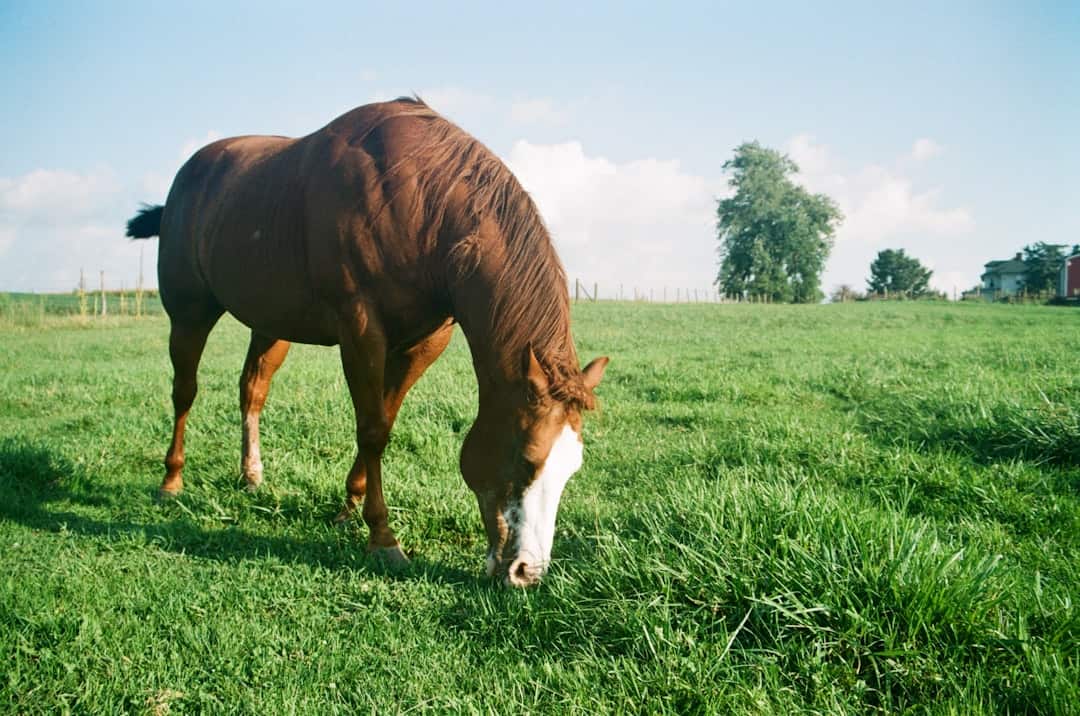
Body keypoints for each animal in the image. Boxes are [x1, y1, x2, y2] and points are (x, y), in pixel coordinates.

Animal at [126, 96, 609, 587]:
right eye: (528, 460)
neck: (426, 205)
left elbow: (384, 420)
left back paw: (251, 475)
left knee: (253, 389)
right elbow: (373, 430)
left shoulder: (424, 343)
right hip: (189, 313)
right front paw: (382, 537)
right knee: (184, 392)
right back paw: (171, 481)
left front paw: (349, 508)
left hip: (271, 323)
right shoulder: (360, 330)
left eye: (572, 468)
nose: (527, 571)